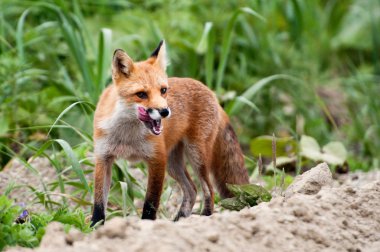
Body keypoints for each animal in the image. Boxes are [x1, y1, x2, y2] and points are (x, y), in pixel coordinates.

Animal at [90, 40, 248, 225]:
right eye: (141, 94)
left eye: (163, 90)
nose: (165, 111)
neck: (127, 135)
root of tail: (210, 92)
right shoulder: (103, 158)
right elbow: (99, 203)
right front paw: (95, 227)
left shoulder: (157, 159)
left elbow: (151, 202)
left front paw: (147, 225)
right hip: (174, 163)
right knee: (192, 190)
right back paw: (179, 221)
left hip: (196, 156)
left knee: (208, 190)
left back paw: (204, 218)